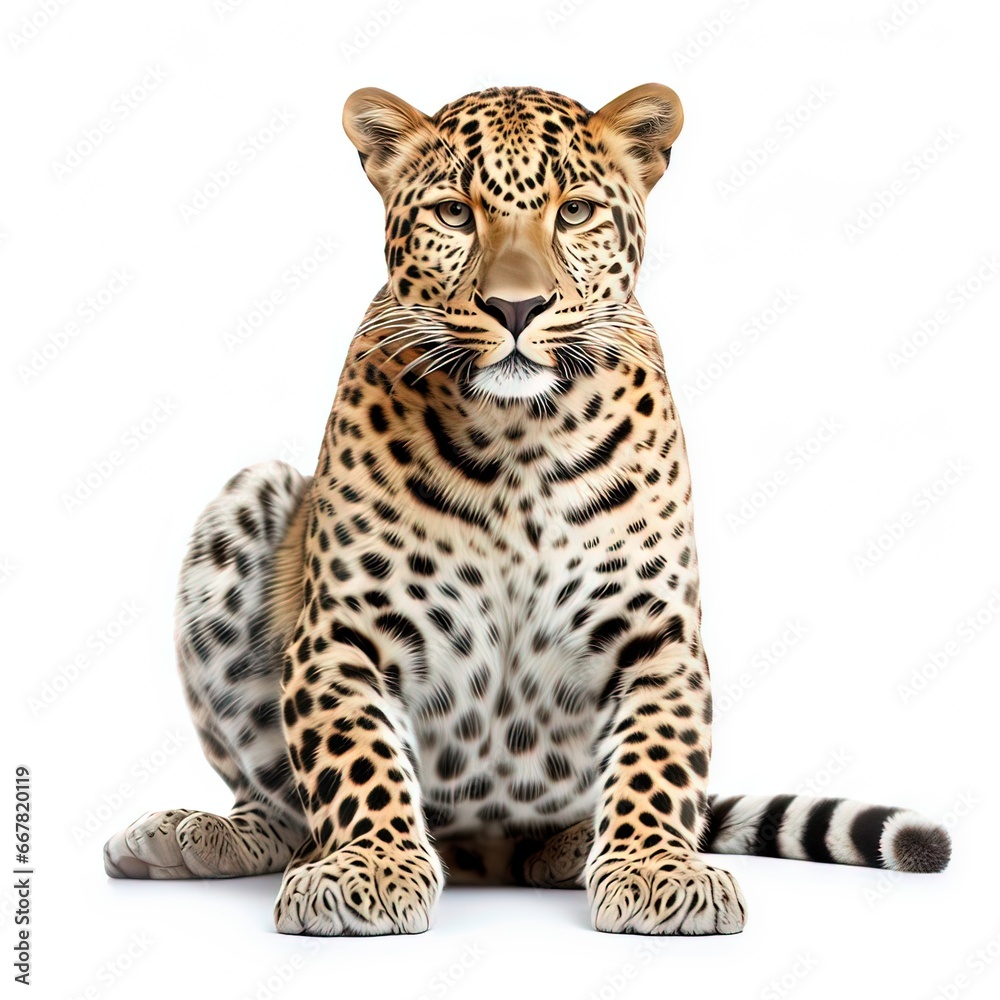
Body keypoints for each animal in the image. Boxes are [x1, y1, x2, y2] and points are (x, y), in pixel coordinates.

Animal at [104, 83, 951, 936]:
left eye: (574, 212)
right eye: (454, 213)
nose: (517, 308)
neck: (516, 433)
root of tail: (485, 854)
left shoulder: (655, 630)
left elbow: (658, 756)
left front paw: (658, 870)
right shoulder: (344, 630)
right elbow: (356, 758)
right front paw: (369, 869)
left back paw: (574, 845)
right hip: (249, 496)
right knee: (279, 805)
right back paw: (195, 834)